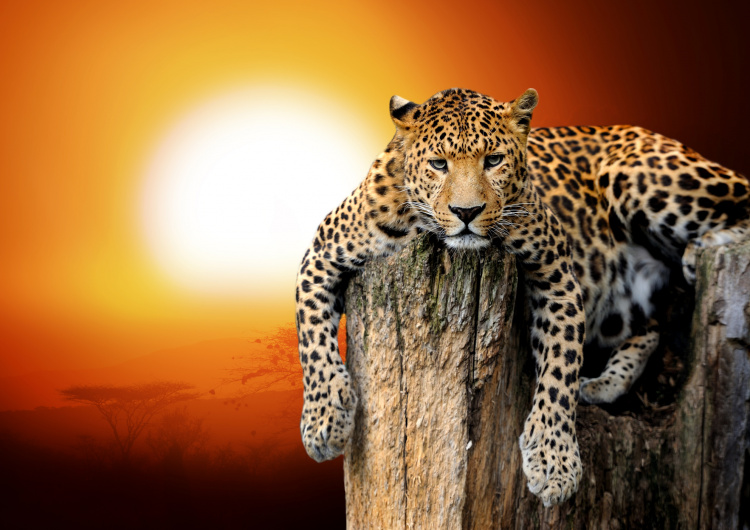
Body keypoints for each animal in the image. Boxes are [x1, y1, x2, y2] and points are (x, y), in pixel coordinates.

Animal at [294, 87, 750, 506]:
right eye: (439, 164)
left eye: (493, 160)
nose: (466, 213)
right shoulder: (320, 255)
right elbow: (312, 341)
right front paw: (324, 422)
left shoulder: (556, 271)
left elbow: (560, 366)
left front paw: (554, 461)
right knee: (650, 327)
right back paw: (603, 383)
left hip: (641, 176)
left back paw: (700, 250)